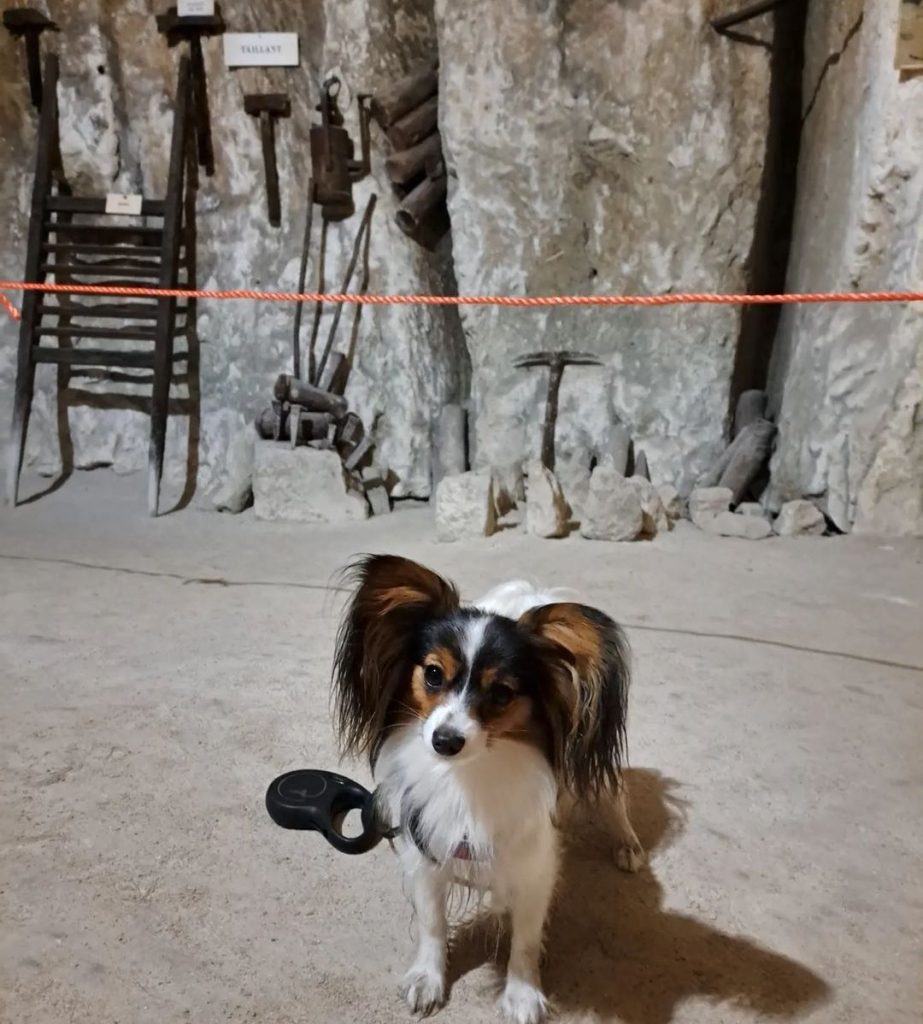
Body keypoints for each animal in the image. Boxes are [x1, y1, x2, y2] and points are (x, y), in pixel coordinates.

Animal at [329, 557, 639, 1019]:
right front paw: (428, 978)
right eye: (433, 674)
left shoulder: (534, 867)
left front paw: (522, 994)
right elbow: (432, 923)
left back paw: (629, 845)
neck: (472, 776)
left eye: (502, 693)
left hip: (600, 776)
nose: (444, 741)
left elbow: (525, 939)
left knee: (614, 797)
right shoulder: (427, 850)